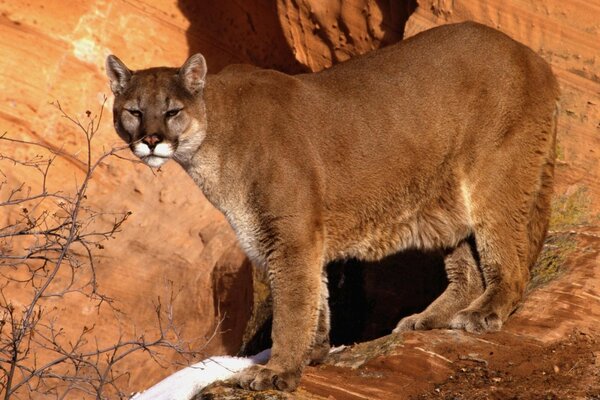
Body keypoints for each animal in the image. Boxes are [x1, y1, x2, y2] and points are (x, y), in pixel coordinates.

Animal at [106, 21, 556, 390]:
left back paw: (483, 313)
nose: (150, 140)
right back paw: (426, 320)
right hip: (443, 199)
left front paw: (276, 371)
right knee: (470, 272)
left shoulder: (289, 235)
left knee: (510, 261)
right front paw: (311, 355)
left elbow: (291, 306)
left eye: (171, 111)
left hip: (495, 176)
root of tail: (533, 56)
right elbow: (314, 296)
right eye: (134, 111)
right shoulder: (293, 236)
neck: (214, 136)